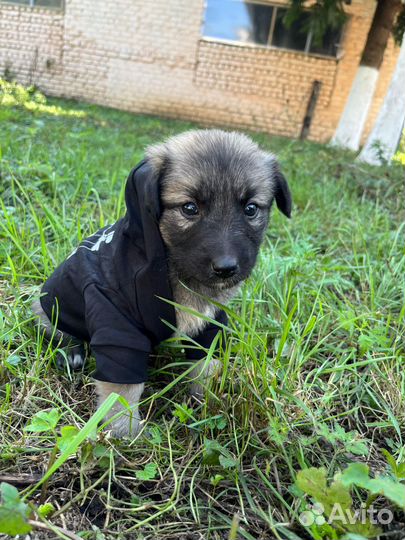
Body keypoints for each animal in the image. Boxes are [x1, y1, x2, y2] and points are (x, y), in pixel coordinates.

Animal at [32, 129, 290, 436]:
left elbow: (204, 367)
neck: (175, 269)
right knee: (57, 331)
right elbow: (122, 390)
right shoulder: (116, 327)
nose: (226, 268)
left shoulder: (210, 324)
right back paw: (69, 352)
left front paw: (204, 403)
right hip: (54, 306)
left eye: (251, 209)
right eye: (189, 208)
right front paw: (125, 434)